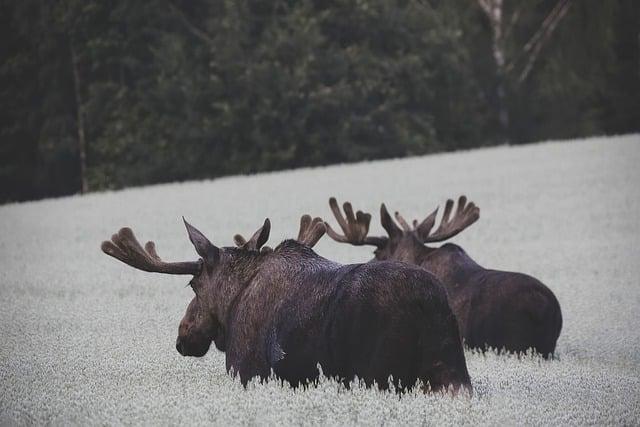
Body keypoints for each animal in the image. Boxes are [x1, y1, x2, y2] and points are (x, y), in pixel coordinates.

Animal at [101, 214, 472, 394]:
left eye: (193, 284)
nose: (184, 335)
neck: (232, 305)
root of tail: (429, 305)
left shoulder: (247, 372)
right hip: (452, 373)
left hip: (380, 374)